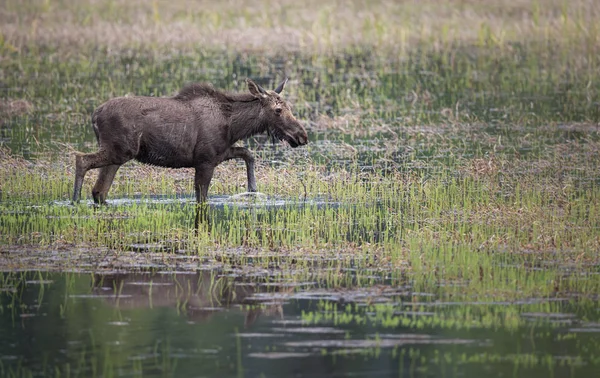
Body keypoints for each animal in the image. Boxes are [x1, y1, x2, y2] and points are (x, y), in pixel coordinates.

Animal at [72, 78, 308, 205]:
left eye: (289, 107)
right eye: (278, 110)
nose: (302, 136)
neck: (233, 126)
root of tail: (94, 115)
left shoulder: (220, 153)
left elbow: (248, 154)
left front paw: (252, 189)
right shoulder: (205, 160)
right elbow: (202, 198)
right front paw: (252, 189)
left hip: (118, 155)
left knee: (99, 191)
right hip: (120, 150)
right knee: (82, 160)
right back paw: (74, 201)